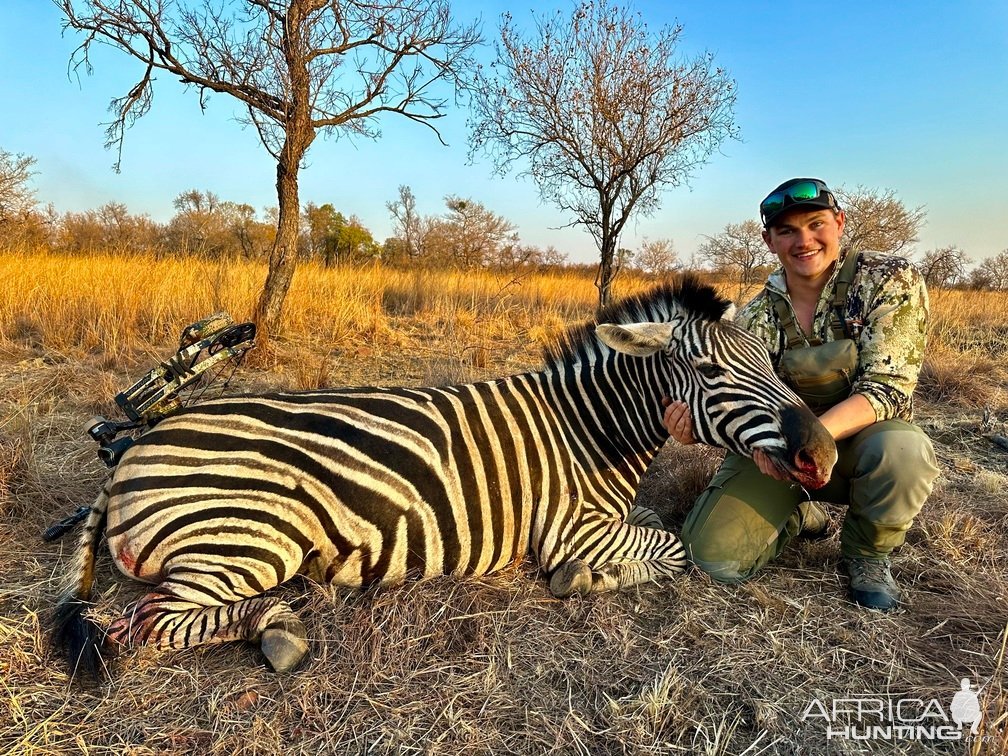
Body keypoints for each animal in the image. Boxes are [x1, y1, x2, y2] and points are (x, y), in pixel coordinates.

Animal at [51, 276, 834, 673]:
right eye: (709, 372)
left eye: (768, 360)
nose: (822, 455)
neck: (590, 428)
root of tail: (139, 446)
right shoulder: (569, 529)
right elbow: (671, 551)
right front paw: (586, 580)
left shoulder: (610, 518)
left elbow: (652, 525)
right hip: (248, 536)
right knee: (141, 624)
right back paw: (278, 632)